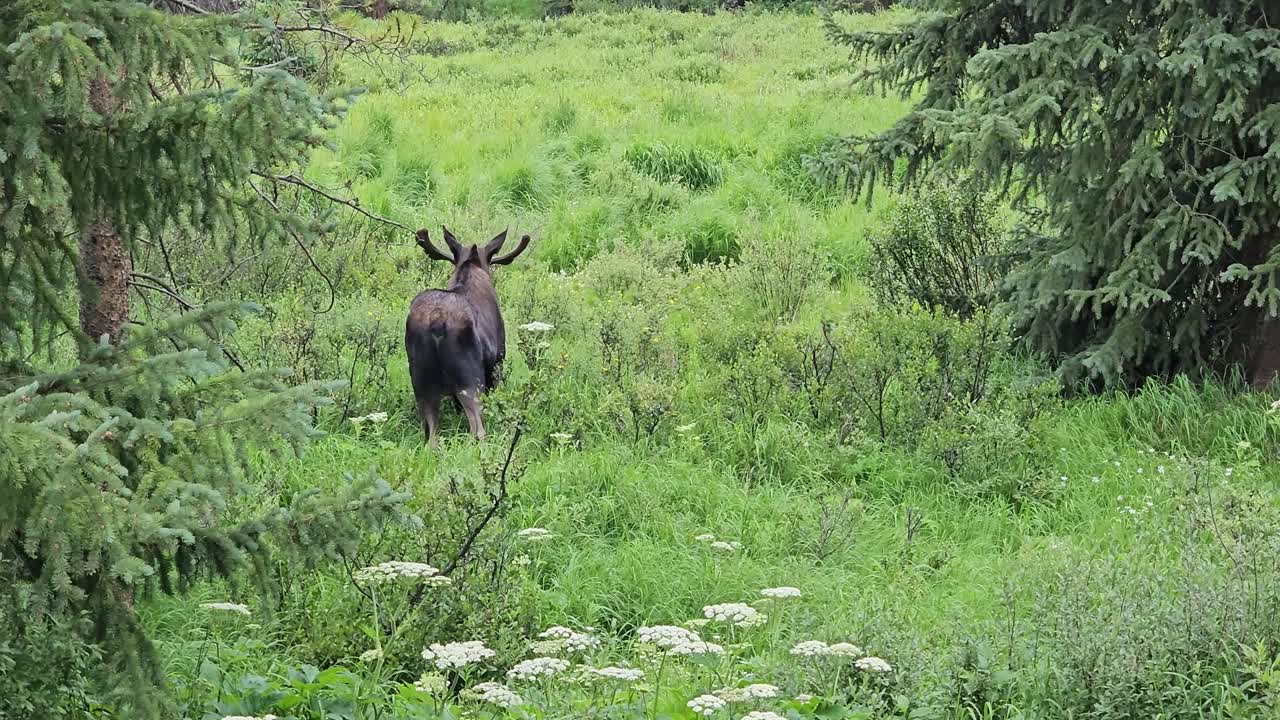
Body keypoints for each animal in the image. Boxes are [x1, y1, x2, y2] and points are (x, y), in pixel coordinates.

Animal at [405, 226, 531, 448]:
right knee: (477, 429)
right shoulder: (497, 364)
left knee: (432, 438)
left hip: (421, 382)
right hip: (469, 379)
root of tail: (437, 322)